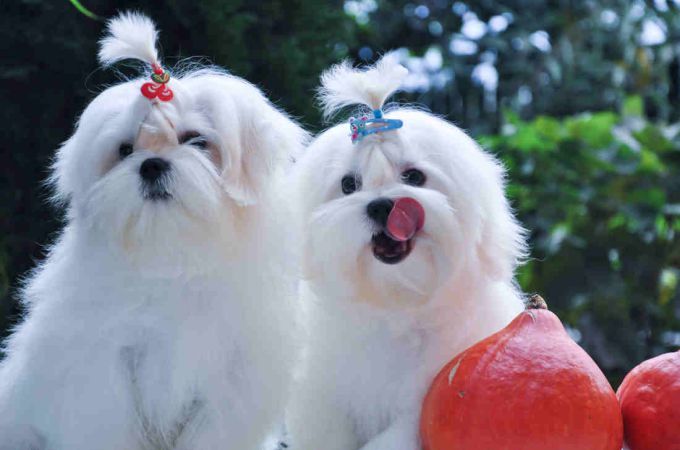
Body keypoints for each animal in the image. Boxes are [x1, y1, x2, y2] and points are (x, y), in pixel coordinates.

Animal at [0, 11, 306, 450]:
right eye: (125, 150)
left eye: (196, 141)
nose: (151, 165)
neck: (173, 256)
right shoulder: (104, 369)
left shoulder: (228, 383)